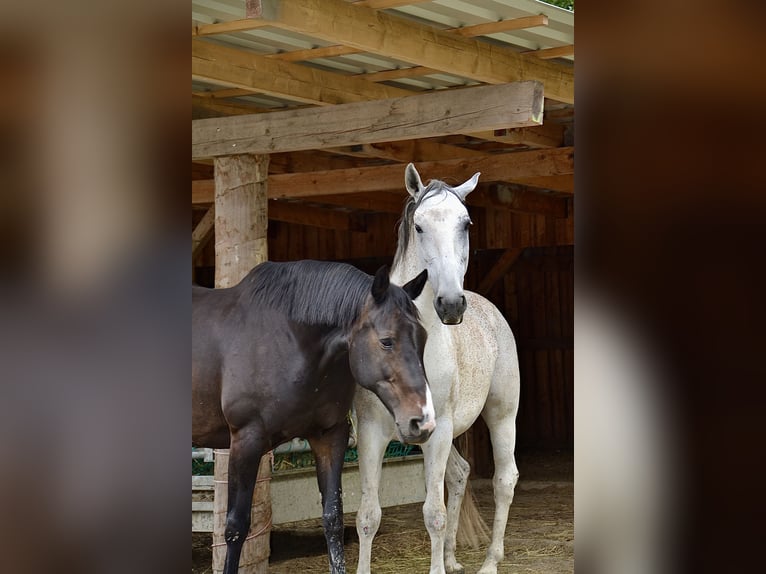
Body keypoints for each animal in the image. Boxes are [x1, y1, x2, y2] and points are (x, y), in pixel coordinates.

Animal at [192, 262, 436, 574]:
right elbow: (235, 527)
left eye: (423, 339)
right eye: (386, 341)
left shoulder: (329, 436)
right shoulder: (246, 440)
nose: (423, 421)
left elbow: (333, 517)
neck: (290, 340)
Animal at [354, 164, 520, 572]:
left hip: (501, 414)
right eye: (419, 226)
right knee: (460, 475)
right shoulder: (370, 433)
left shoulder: (439, 430)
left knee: (504, 480)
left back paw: (490, 560)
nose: (450, 304)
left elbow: (434, 513)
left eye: (466, 223)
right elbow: (368, 515)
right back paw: (452, 557)